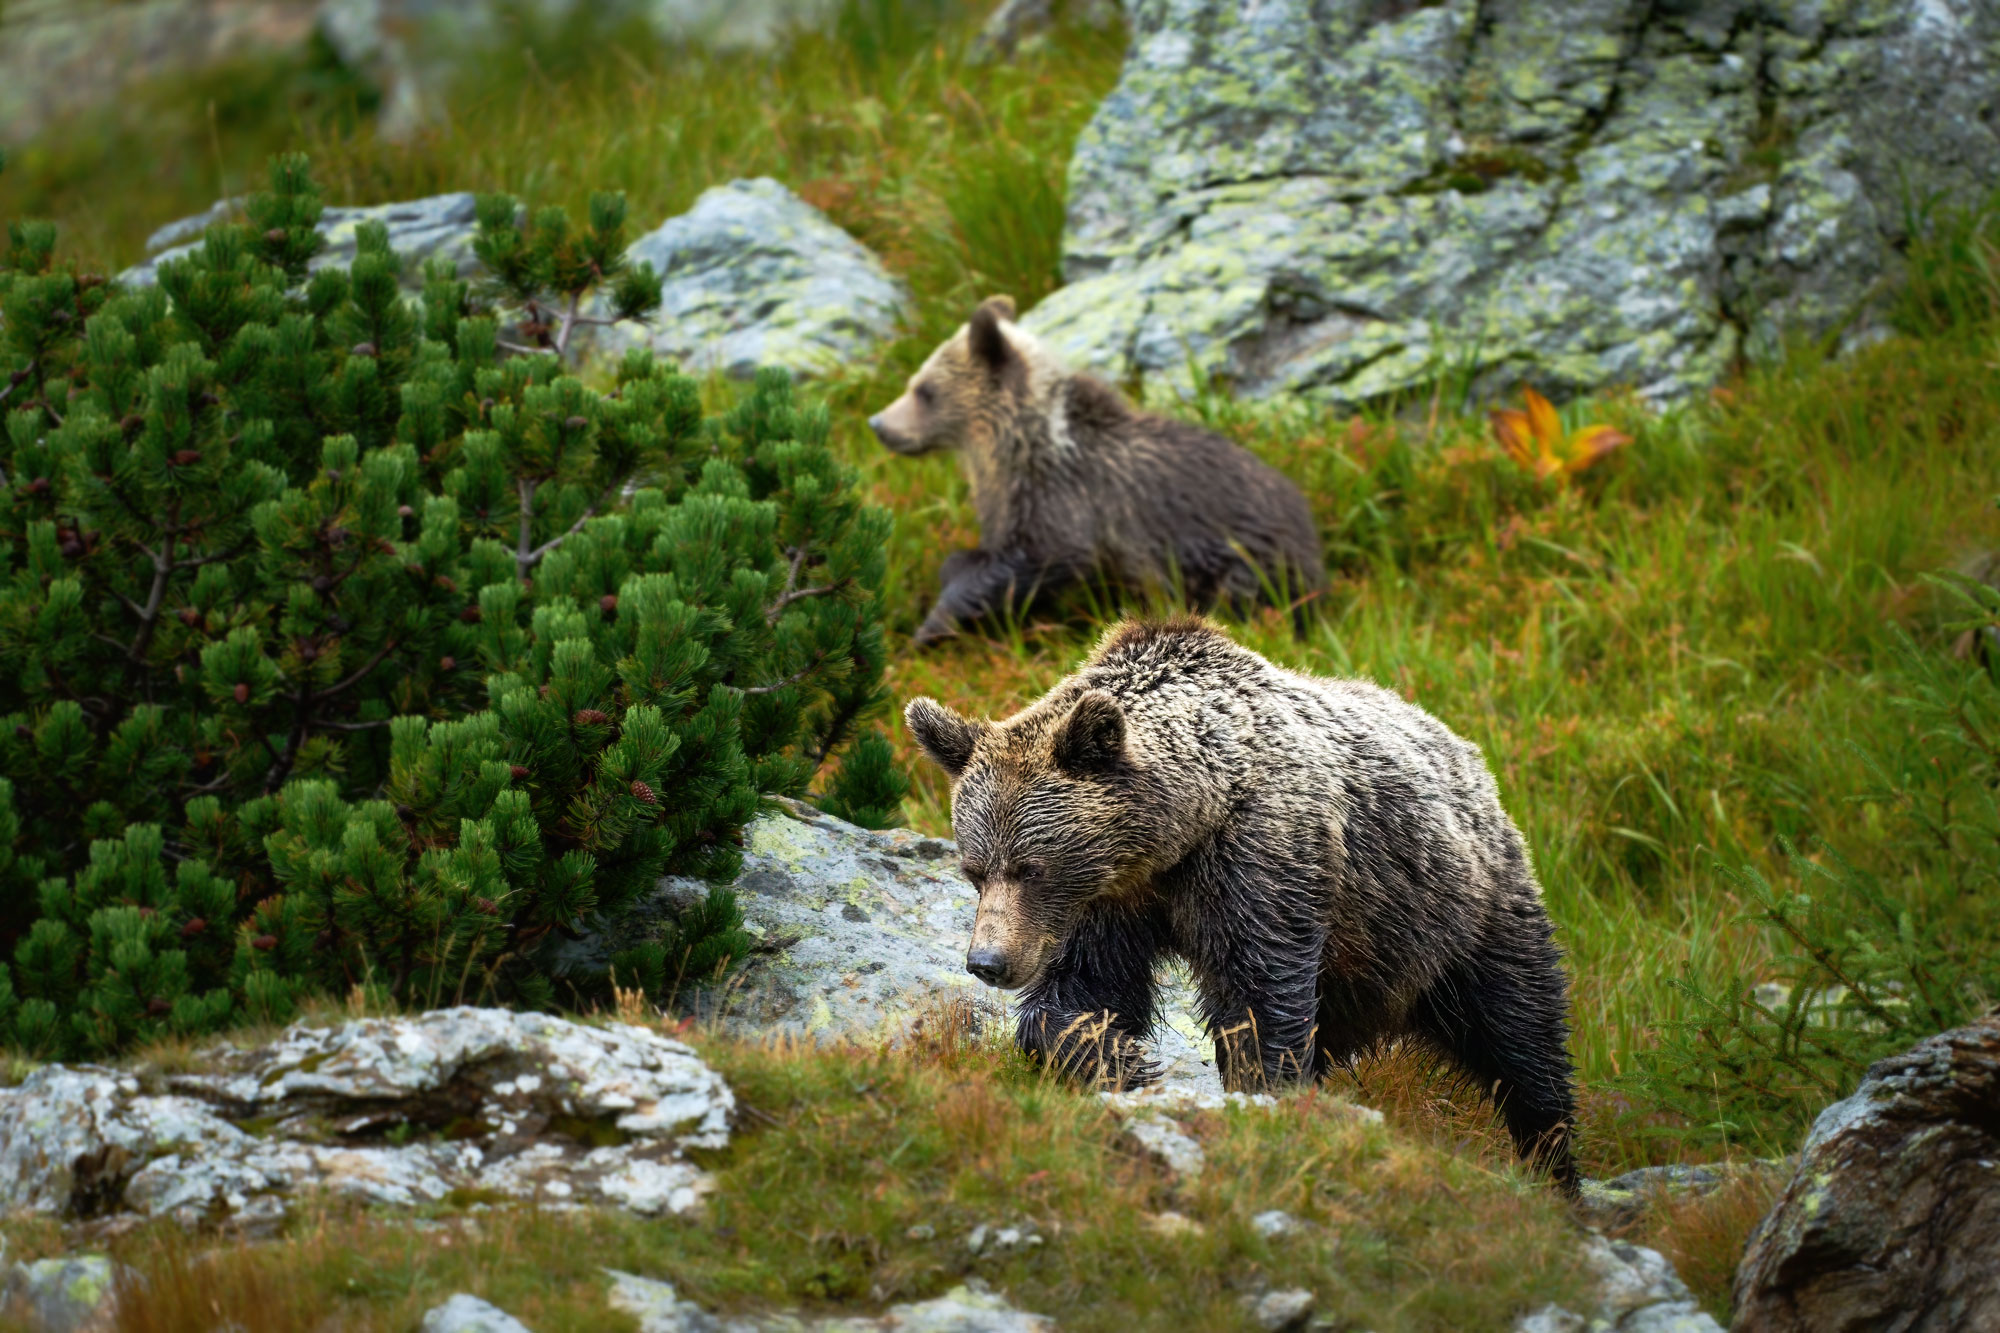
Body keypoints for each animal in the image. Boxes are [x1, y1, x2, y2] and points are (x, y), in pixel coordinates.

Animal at [864, 294, 1320, 644]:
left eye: (924, 390)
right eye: (915, 382)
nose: (878, 424)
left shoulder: (1060, 502)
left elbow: (1033, 560)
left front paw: (932, 625)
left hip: (1242, 562)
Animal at [904, 616, 1576, 1184]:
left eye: (1031, 868)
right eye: (974, 870)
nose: (989, 963)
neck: (1179, 831)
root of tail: (1466, 751)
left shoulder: (1256, 863)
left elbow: (1258, 994)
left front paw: (1261, 1092)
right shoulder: (1106, 906)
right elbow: (1081, 994)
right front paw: (1120, 1058)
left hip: (1459, 912)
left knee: (1521, 1033)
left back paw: (1554, 1166)